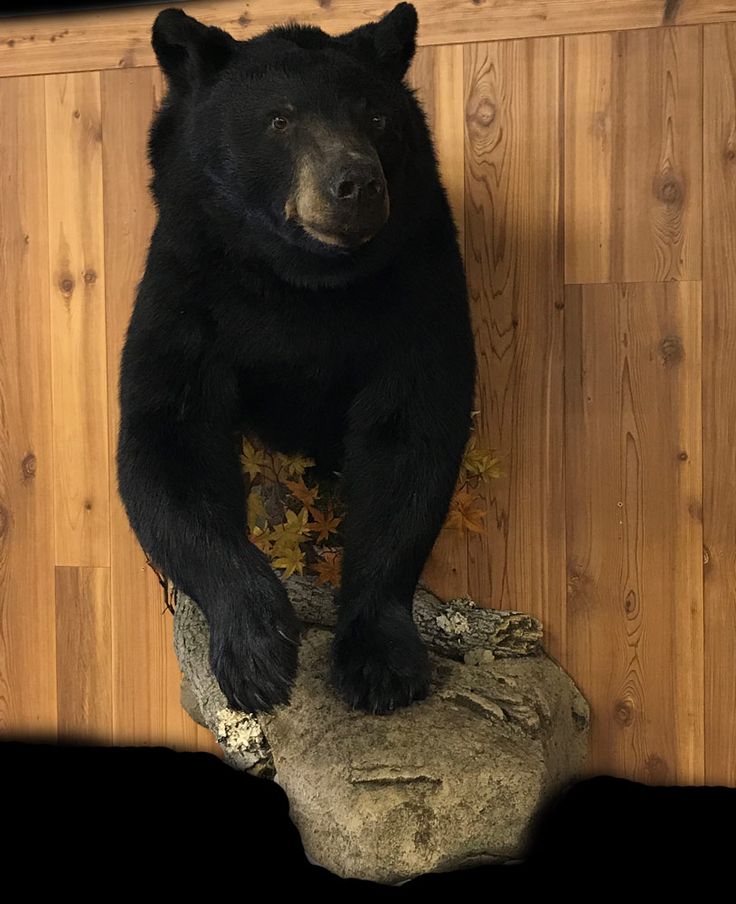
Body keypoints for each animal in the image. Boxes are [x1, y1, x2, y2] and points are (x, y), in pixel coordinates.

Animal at [116, 5, 478, 712]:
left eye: (375, 116)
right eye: (279, 120)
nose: (357, 184)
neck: (303, 283)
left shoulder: (419, 287)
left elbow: (409, 441)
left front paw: (380, 661)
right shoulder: (190, 289)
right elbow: (168, 442)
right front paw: (256, 650)